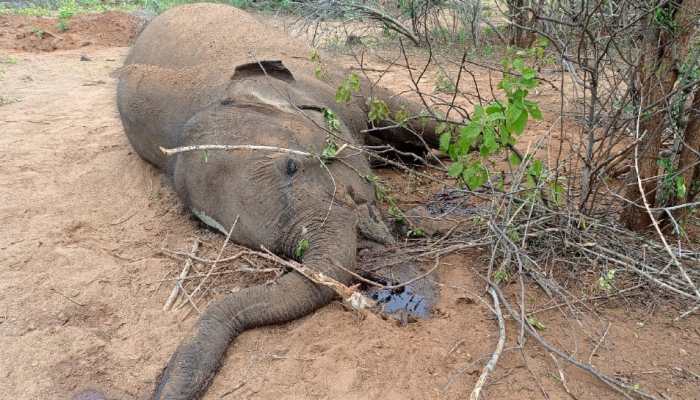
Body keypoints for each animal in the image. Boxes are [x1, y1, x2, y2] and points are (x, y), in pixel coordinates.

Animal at [116, 3, 438, 400]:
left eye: (291, 166)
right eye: (274, 251)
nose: (163, 385)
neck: (208, 95)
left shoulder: (331, 79)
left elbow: (407, 115)